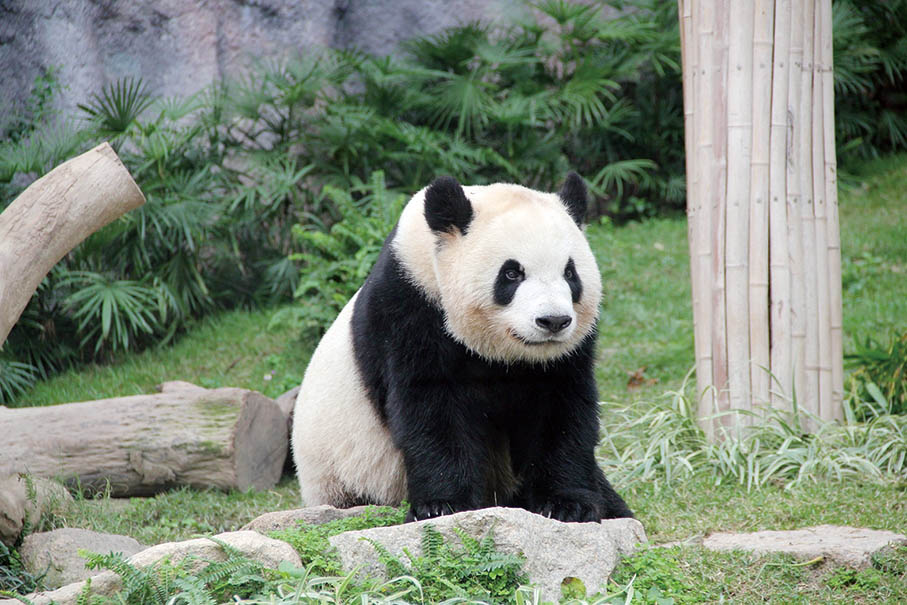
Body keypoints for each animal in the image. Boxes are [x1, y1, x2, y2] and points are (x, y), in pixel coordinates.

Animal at [291, 172, 632, 523]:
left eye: (570, 273)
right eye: (512, 273)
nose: (553, 321)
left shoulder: (565, 355)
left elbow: (560, 411)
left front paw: (566, 504)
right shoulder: (410, 309)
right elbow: (432, 409)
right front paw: (443, 505)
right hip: (347, 474)